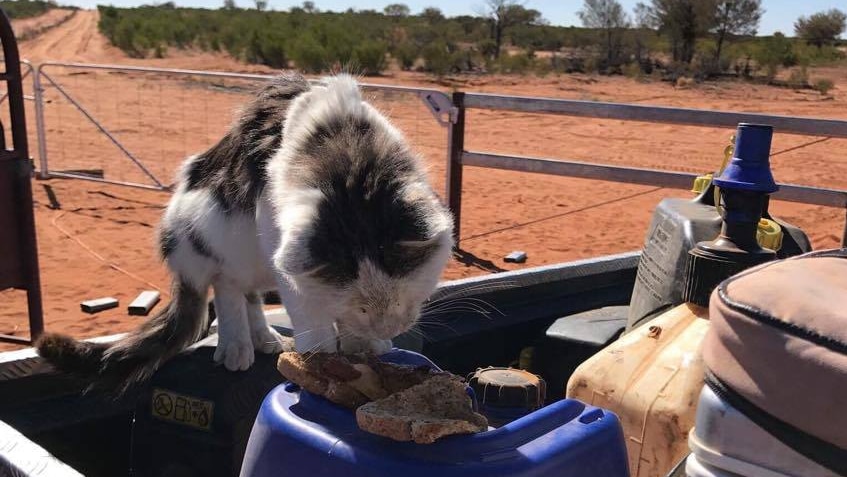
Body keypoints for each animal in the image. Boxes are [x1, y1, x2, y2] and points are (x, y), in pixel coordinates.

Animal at [36, 71, 454, 390]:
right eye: (362, 305)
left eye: (402, 297)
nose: (390, 324)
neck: (348, 157)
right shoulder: (287, 259)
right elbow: (315, 325)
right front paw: (323, 364)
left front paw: (366, 346)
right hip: (215, 241)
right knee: (228, 292)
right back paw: (236, 348)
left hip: (257, 259)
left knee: (250, 296)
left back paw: (266, 339)